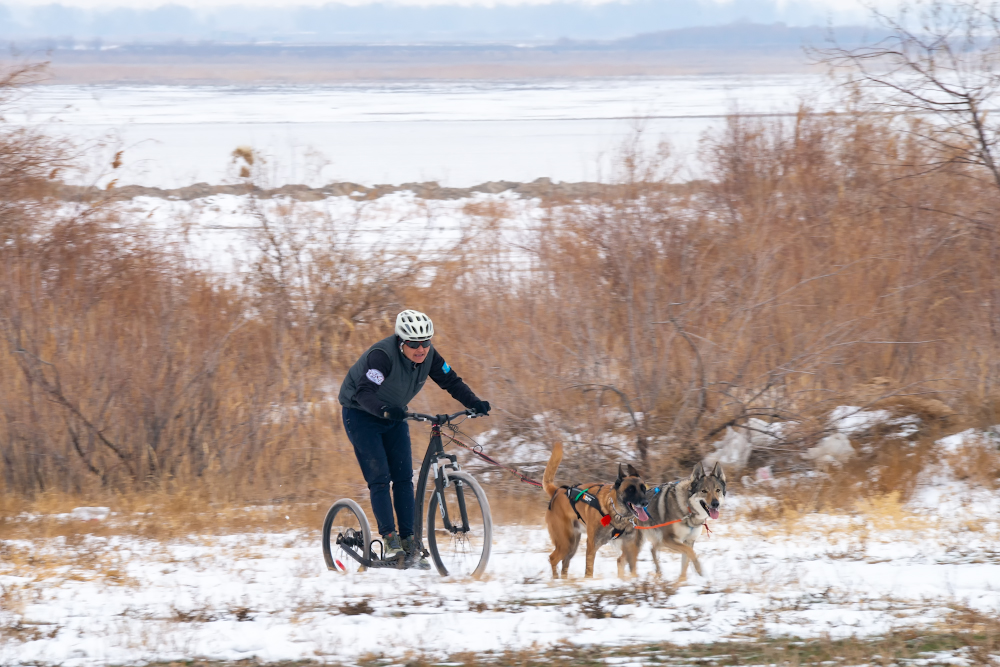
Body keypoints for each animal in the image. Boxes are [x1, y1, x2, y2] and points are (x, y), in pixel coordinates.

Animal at [544, 444, 652, 580]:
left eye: (643, 488)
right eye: (631, 490)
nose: (645, 502)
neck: (617, 513)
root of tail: (557, 491)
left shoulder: (630, 544)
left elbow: (632, 567)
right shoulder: (592, 544)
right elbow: (589, 570)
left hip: (572, 546)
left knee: (564, 562)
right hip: (566, 543)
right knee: (552, 558)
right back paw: (556, 580)